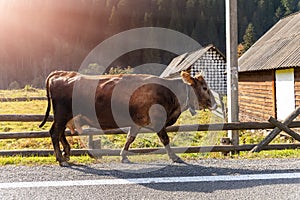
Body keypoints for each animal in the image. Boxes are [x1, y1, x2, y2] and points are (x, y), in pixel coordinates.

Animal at [39, 70, 217, 167]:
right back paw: (61, 159)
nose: (215, 104)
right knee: (55, 133)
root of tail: (63, 74)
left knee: (59, 133)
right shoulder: (158, 121)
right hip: (62, 115)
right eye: (204, 88)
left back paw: (66, 153)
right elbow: (165, 139)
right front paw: (174, 157)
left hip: (63, 117)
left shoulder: (137, 123)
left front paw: (123, 156)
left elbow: (130, 139)